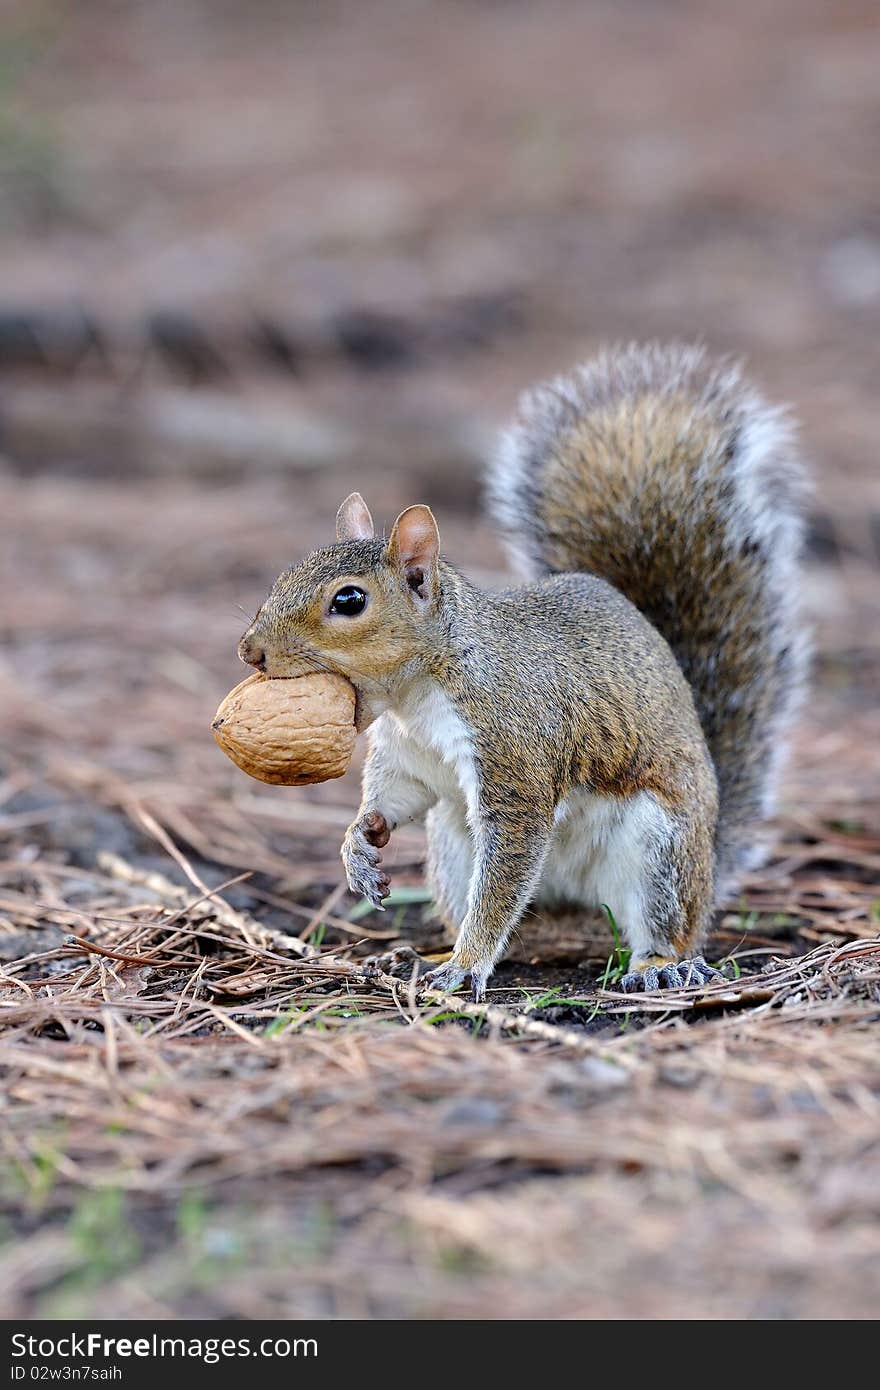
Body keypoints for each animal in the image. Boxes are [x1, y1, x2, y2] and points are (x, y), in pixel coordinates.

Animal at [236, 347, 806, 1000]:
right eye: (287, 573)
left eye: (349, 601)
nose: (250, 651)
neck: (416, 694)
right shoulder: (408, 755)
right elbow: (397, 793)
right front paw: (360, 841)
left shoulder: (515, 757)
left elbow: (508, 865)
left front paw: (465, 966)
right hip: (452, 844)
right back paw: (421, 952)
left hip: (659, 847)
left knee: (665, 922)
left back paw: (659, 965)